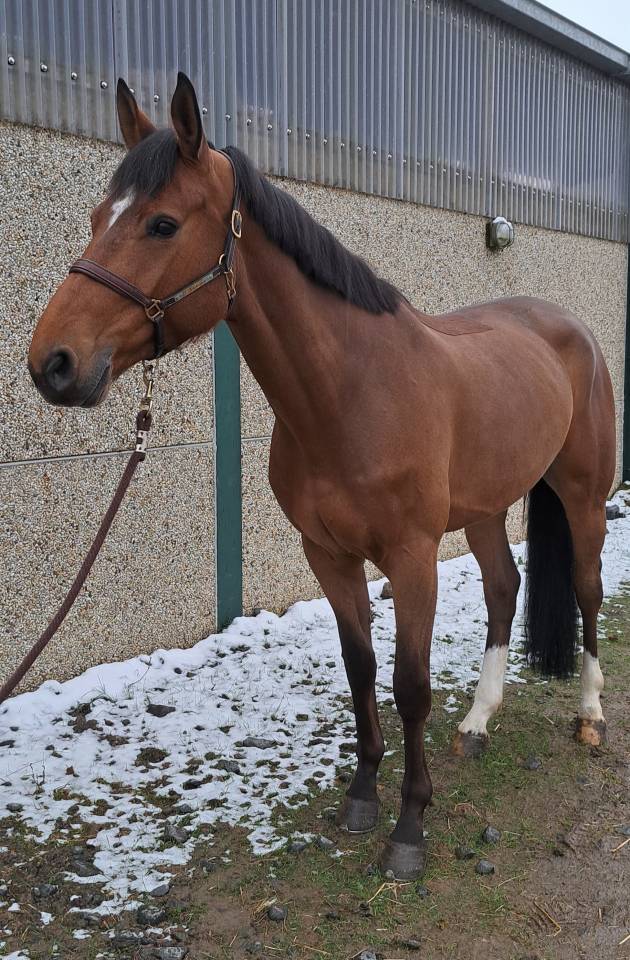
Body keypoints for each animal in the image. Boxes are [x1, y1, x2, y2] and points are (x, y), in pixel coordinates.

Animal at [27, 73, 616, 881]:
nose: (51, 363)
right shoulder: (327, 555)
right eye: (94, 218)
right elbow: (360, 669)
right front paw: (363, 795)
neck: (350, 392)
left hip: (584, 495)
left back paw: (589, 717)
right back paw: (478, 722)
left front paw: (410, 826)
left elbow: (407, 685)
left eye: (162, 224)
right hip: (485, 509)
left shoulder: (412, 559)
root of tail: (570, 327)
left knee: (587, 593)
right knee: (503, 589)